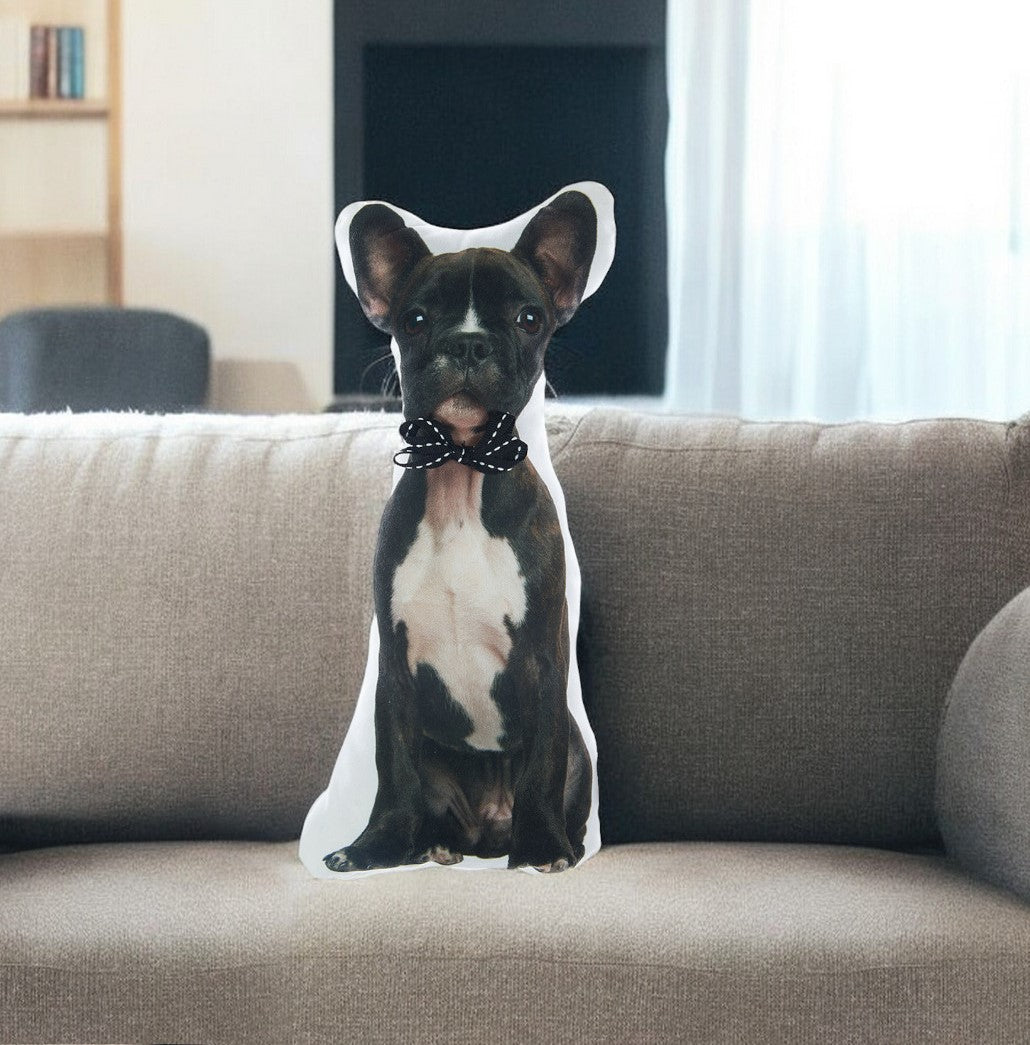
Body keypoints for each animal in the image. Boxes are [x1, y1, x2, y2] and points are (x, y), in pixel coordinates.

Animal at [325, 190, 597, 873]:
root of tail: (487, 832)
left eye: (529, 318)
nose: (469, 344)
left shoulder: (545, 661)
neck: (463, 469)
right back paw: (434, 843)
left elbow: (542, 765)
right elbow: (393, 771)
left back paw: (557, 842)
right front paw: (373, 846)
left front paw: (542, 848)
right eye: (415, 320)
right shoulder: (395, 673)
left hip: (578, 753)